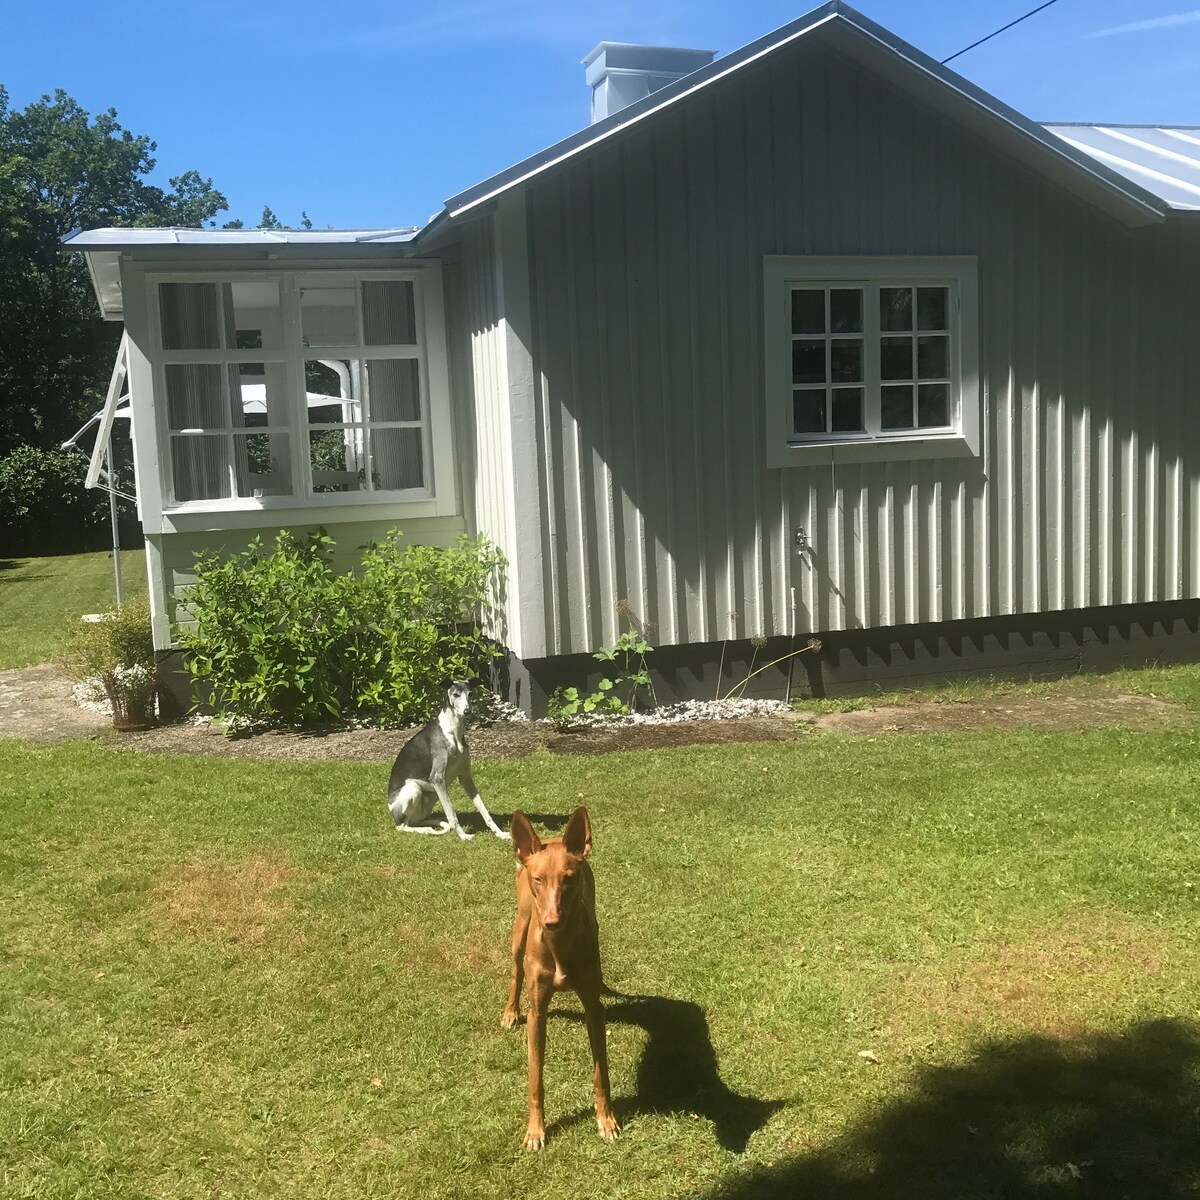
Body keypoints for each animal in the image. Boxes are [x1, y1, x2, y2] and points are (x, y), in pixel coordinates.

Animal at [386, 681, 508, 840]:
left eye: (470, 694)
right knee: (402, 826)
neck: (453, 730)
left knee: (416, 822)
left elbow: (484, 810)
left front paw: (500, 833)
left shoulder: (466, 777)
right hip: (413, 788)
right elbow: (452, 813)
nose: (467, 711)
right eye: (455, 694)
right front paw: (463, 836)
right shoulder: (437, 778)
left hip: (430, 798)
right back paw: (427, 830)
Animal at [501, 806, 624, 1152]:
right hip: (519, 930)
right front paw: (535, 1131)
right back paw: (510, 1011)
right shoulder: (538, 1013)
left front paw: (606, 1119)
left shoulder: (594, 1010)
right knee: (515, 970)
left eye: (568, 879)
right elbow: (535, 1079)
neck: (559, 945)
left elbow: (601, 1072)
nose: (551, 922)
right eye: (538, 879)